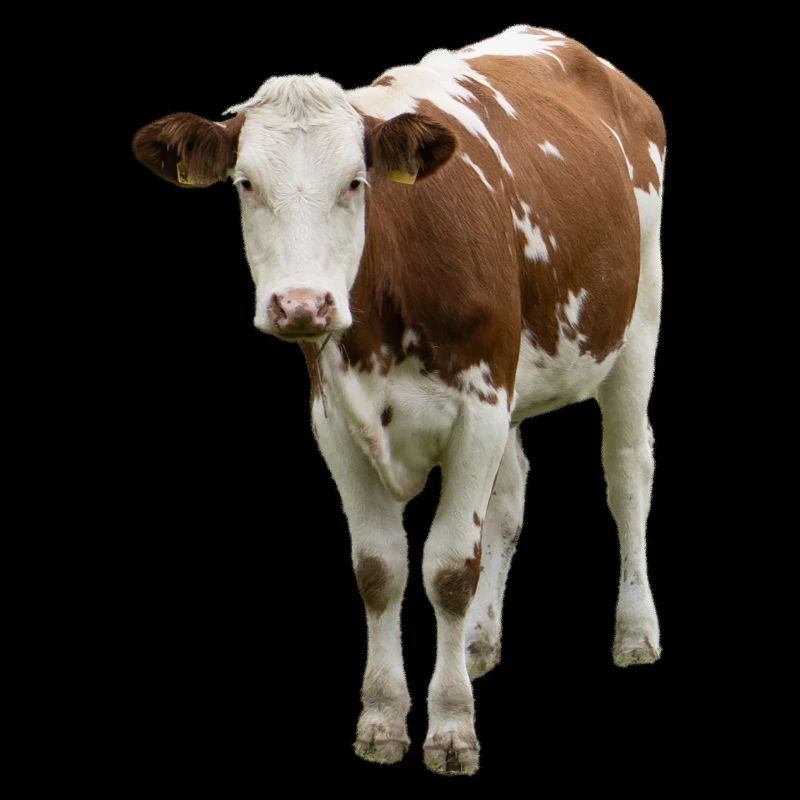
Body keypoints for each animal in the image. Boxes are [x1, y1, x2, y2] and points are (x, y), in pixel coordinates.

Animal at [132, 25, 665, 776]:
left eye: (356, 183)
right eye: (245, 184)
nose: (302, 304)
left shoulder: (478, 407)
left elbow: (449, 568)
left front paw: (451, 729)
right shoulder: (334, 419)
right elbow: (380, 569)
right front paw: (383, 719)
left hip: (637, 324)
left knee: (626, 473)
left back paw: (635, 630)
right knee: (510, 499)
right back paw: (480, 641)